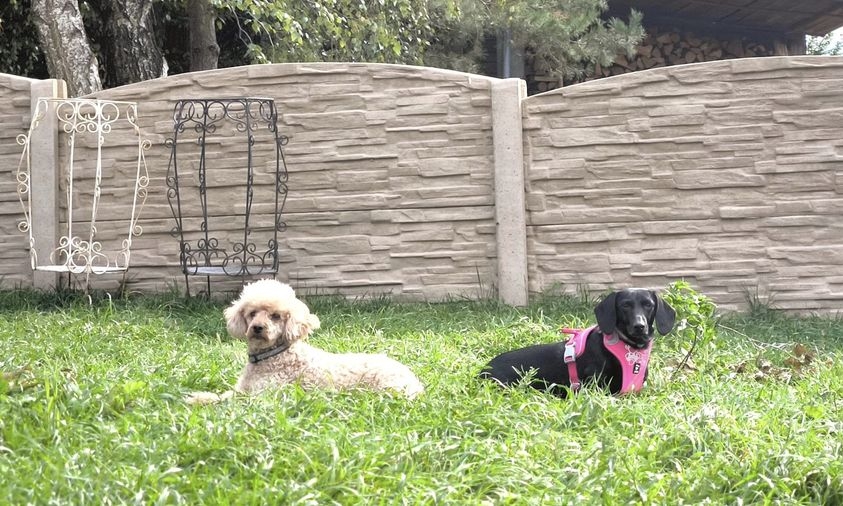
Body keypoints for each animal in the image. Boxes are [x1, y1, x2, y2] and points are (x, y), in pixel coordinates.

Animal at [220, 279, 424, 399]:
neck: (273, 355)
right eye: (252, 313)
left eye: (276, 316)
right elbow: (222, 396)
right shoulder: (241, 389)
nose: (257, 328)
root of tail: (414, 380)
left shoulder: (263, 395)